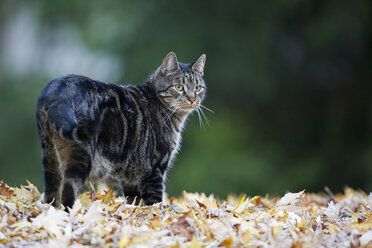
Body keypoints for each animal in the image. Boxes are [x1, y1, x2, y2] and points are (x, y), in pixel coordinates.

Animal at [35, 52, 206, 209]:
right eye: (179, 87)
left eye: (197, 88)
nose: (192, 99)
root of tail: (58, 88)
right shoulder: (155, 169)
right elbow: (155, 204)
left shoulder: (131, 177)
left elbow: (134, 203)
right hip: (80, 155)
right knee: (68, 190)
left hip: (49, 156)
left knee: (51, 194)